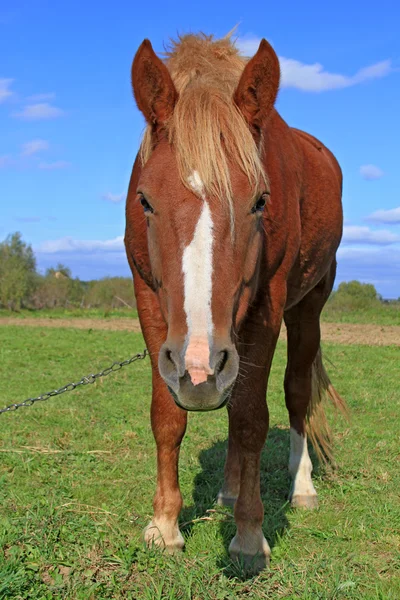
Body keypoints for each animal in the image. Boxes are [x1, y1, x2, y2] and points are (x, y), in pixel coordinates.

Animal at [125, 32, 346, 572]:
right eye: (145, 200)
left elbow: (250, 420)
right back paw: (227, 489)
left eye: (260, 200)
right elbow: (168, 415)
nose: (198, 367)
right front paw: (164, 526)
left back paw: (301, 485)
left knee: (294, 394)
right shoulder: (151, 304)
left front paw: (248, 535)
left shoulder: (265, 309)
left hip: (304, 312)